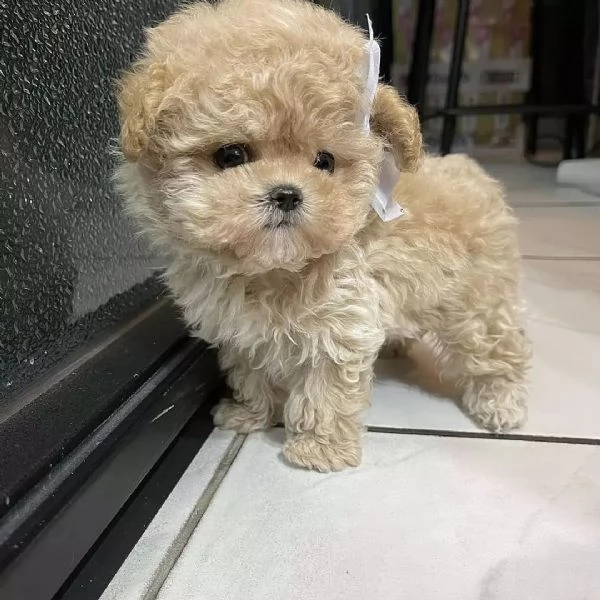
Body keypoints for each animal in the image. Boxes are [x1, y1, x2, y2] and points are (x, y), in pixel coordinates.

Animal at [116, 0, 528, 474]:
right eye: (230, 155)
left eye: (325, 161)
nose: (287, 194)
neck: (273, 269)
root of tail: (472, 171)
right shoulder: (243, 333)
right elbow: (251, 373)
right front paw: (248, 414)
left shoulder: (341, 328)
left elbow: (325, 392)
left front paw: (319, 449)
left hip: (476, 303)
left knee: (497, 347)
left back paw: (501, 401)